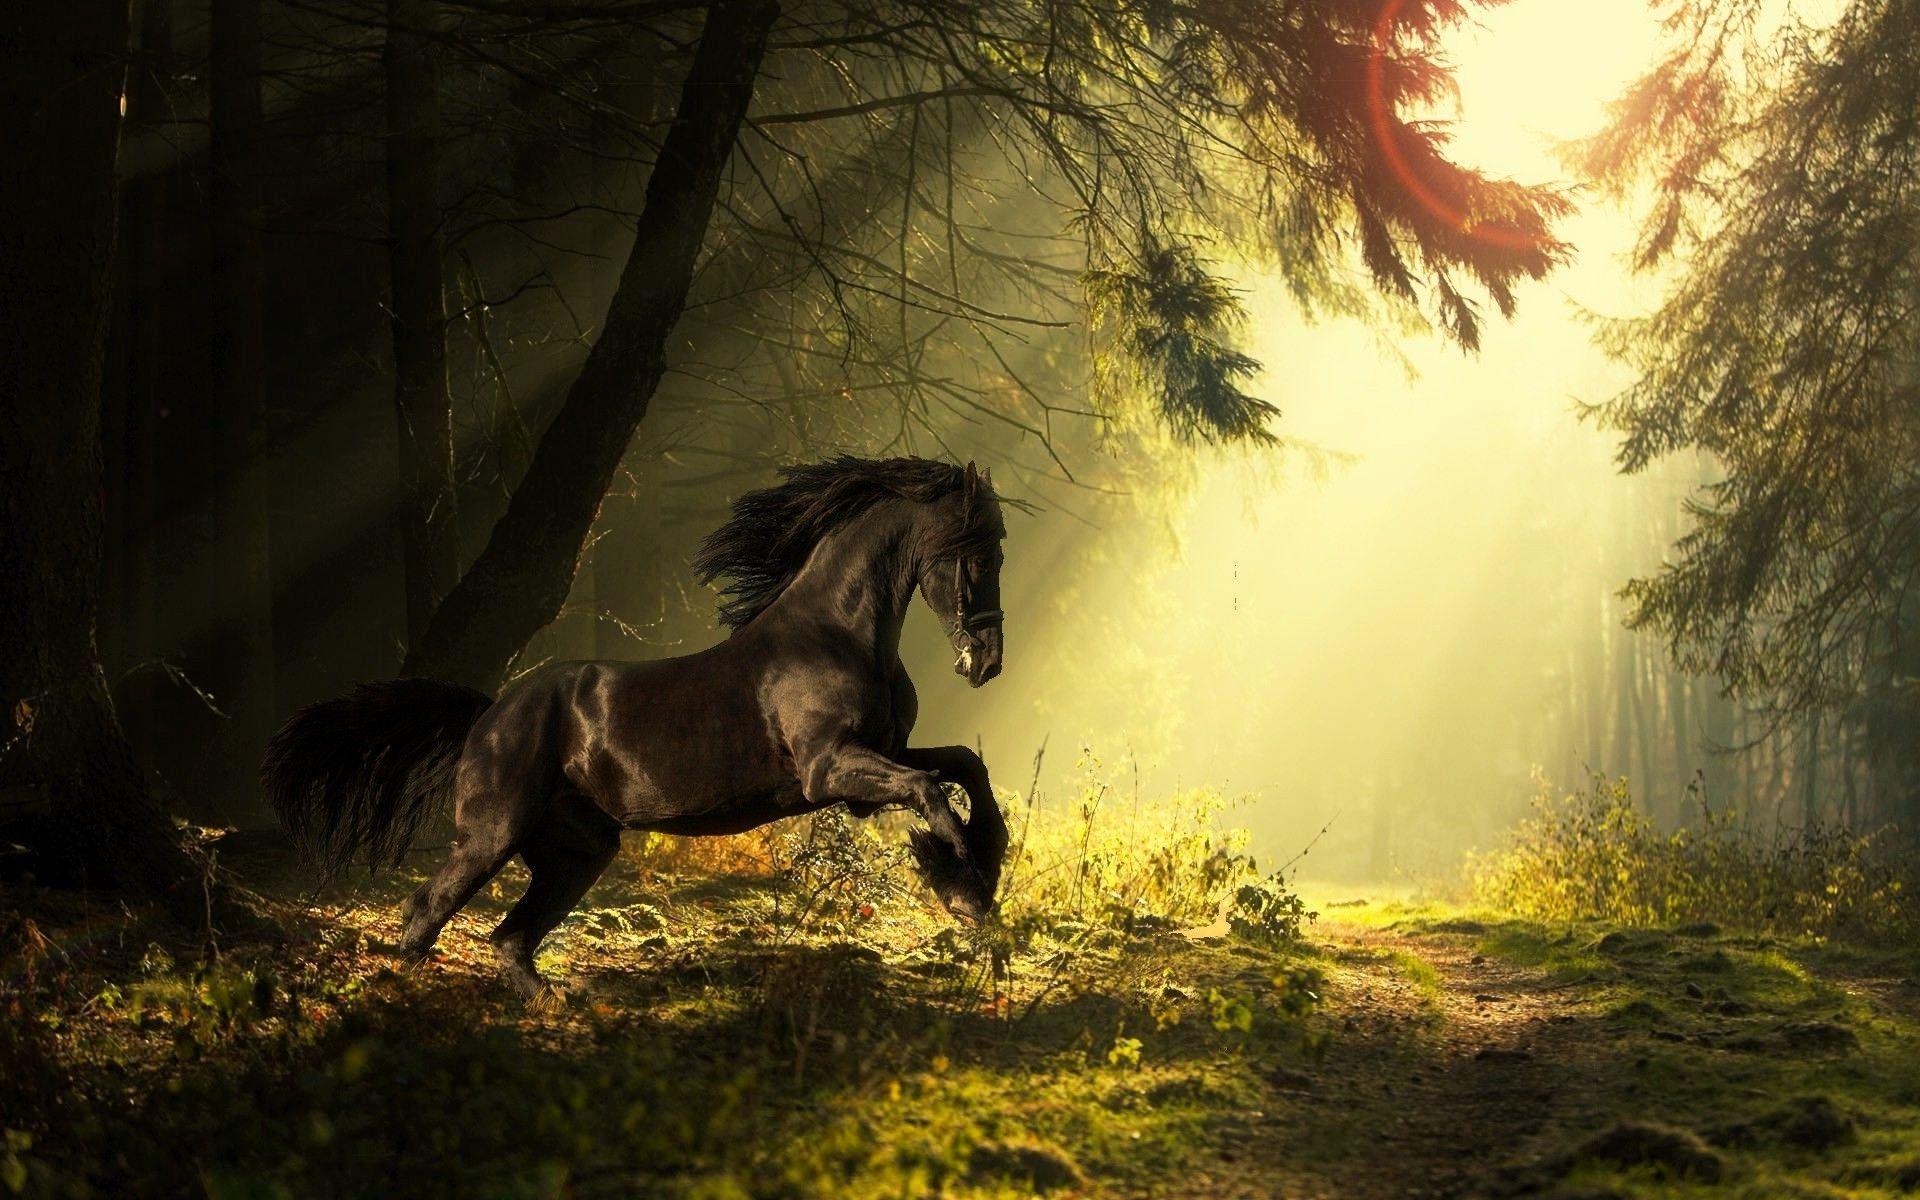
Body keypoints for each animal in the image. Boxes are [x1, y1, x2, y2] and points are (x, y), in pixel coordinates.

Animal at [262, 456, 1011, 999]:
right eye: (978, 555)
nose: (987, 661)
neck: (833, 634)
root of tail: (489, 713)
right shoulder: (830, 769)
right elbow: (930, 790)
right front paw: (966, 888)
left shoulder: (879, 757)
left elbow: (963, 767)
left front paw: (983, 866)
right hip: (492, 836)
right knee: (425, 911)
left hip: (577, 852)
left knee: (509, 937)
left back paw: (550, 999)